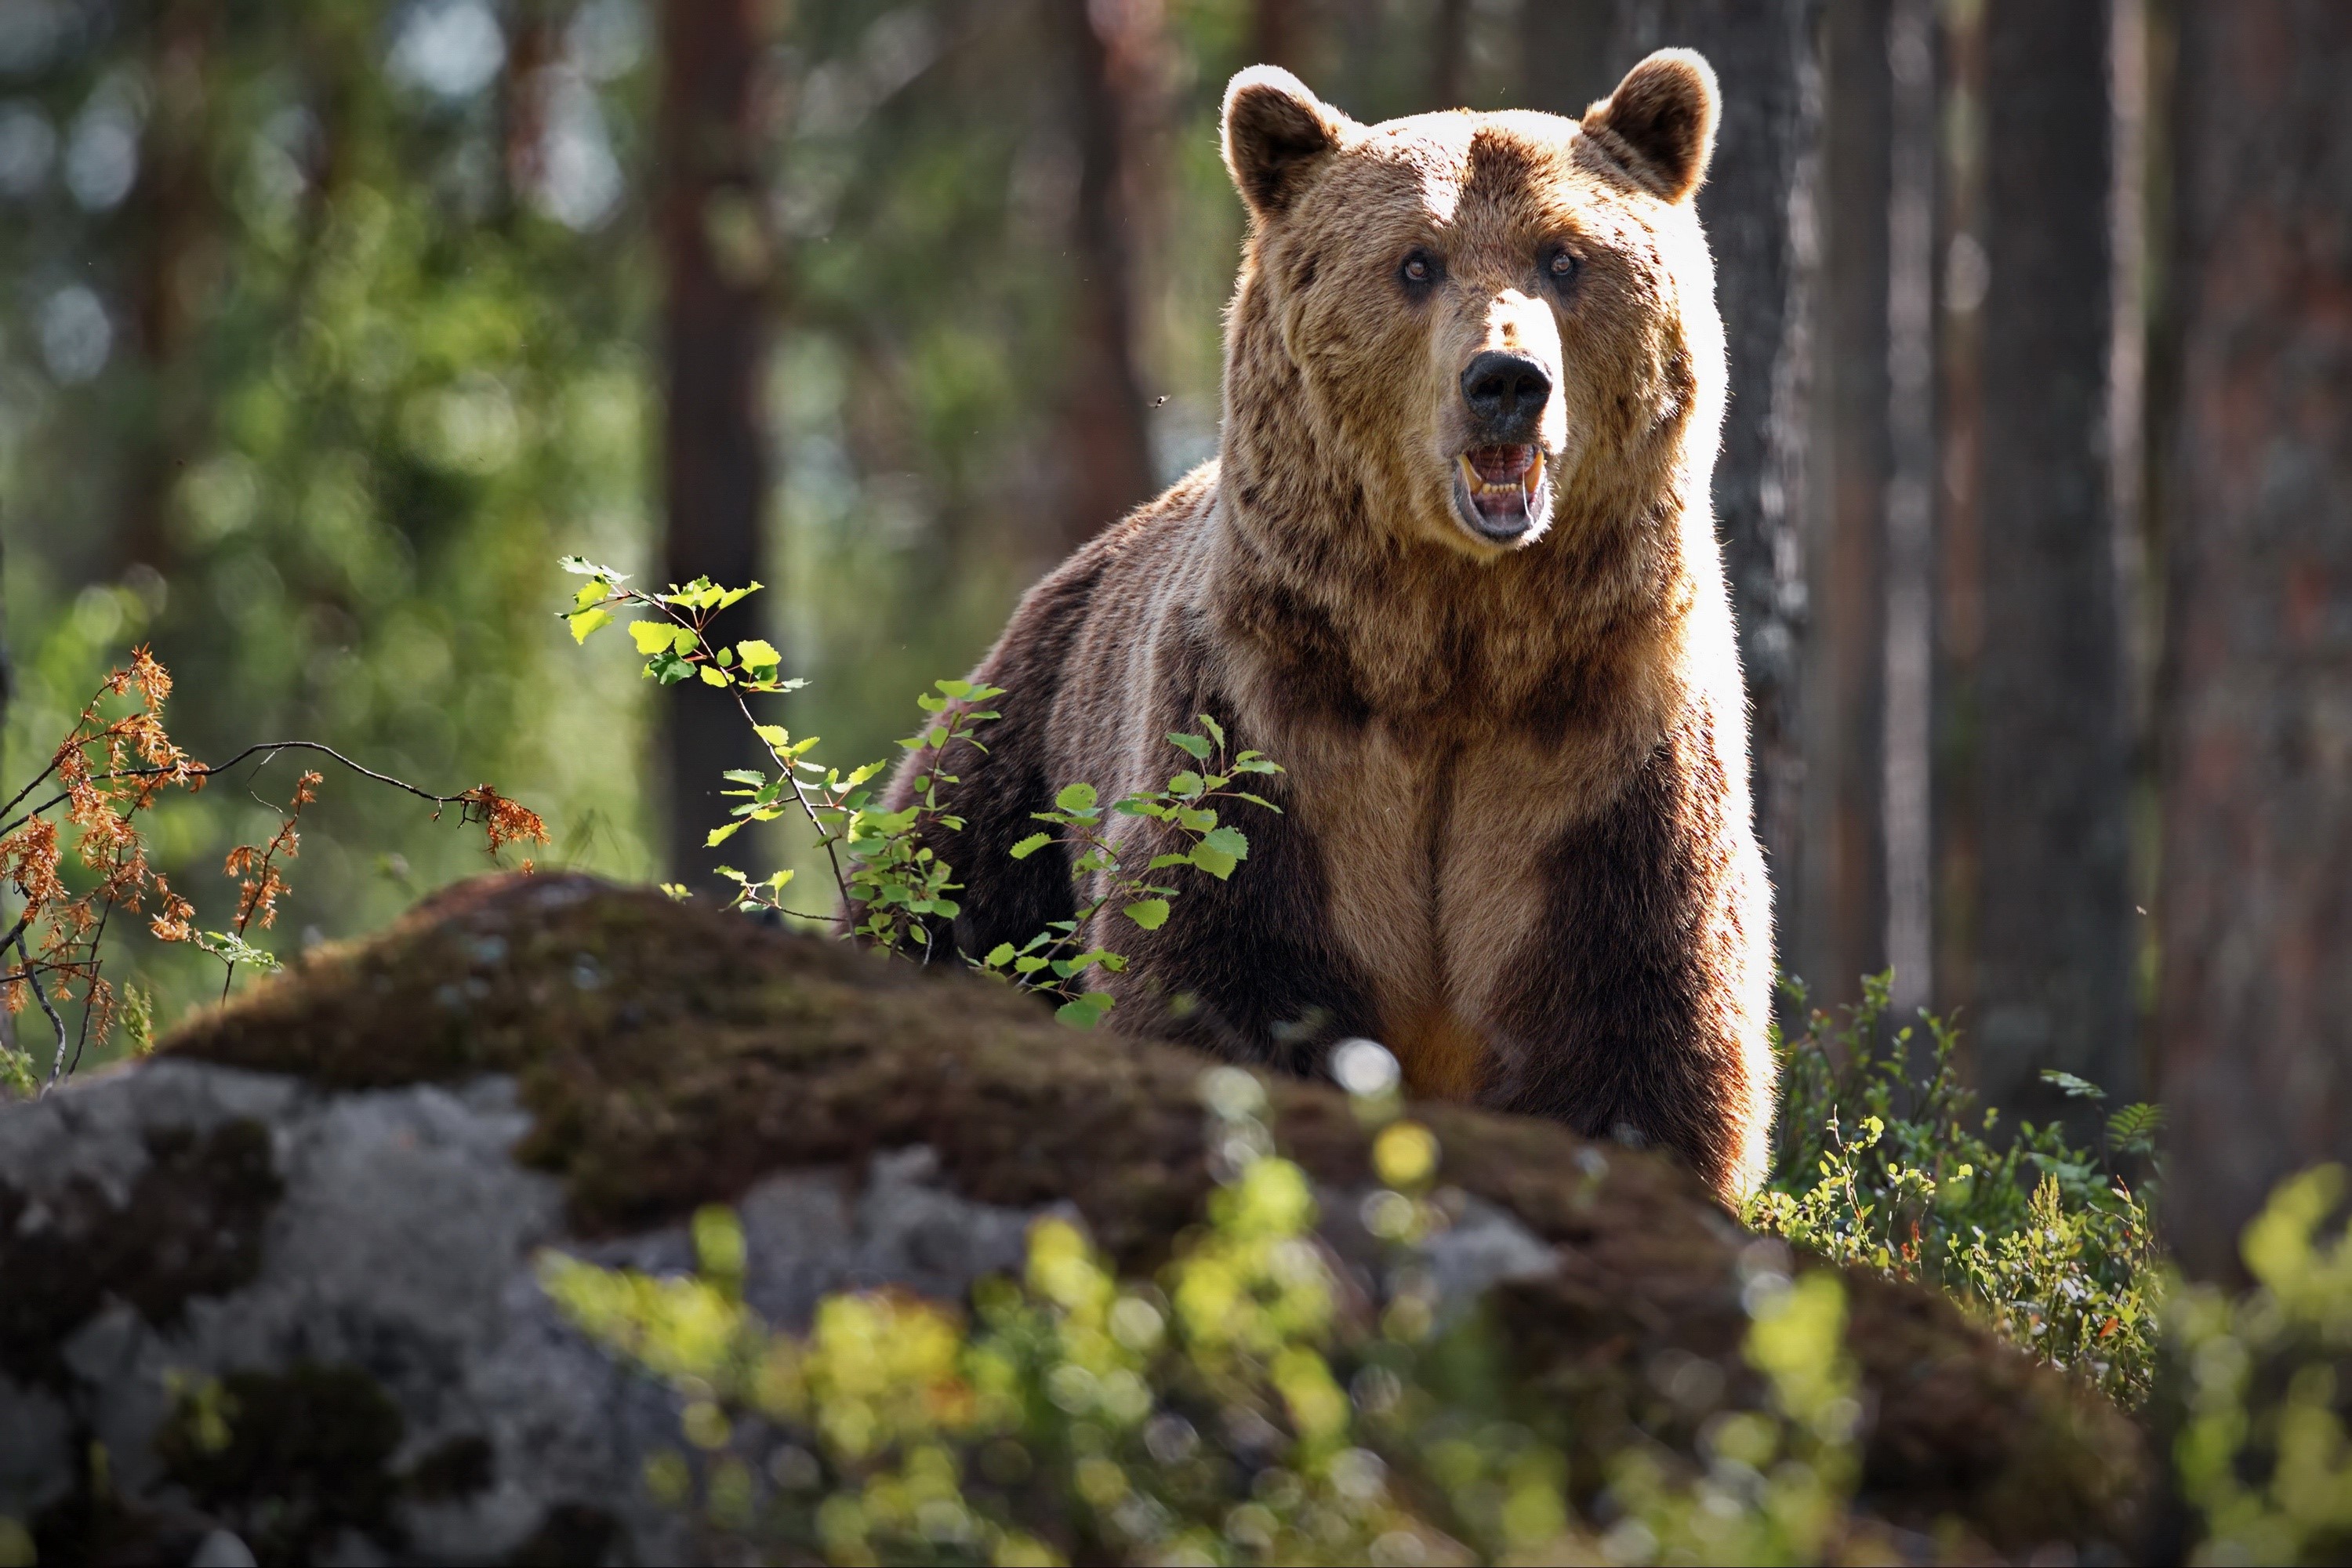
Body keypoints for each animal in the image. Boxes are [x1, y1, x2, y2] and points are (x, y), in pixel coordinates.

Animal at [880, 50, 1775, 1201]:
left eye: (1566, 256)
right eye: (1416, 262)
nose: (1507, 382)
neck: (1456, 644)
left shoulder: (1598, 760)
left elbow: (1629, 1025)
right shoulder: (1276, 735)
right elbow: (1223, 971)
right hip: (1015, 765)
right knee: (948, 906)